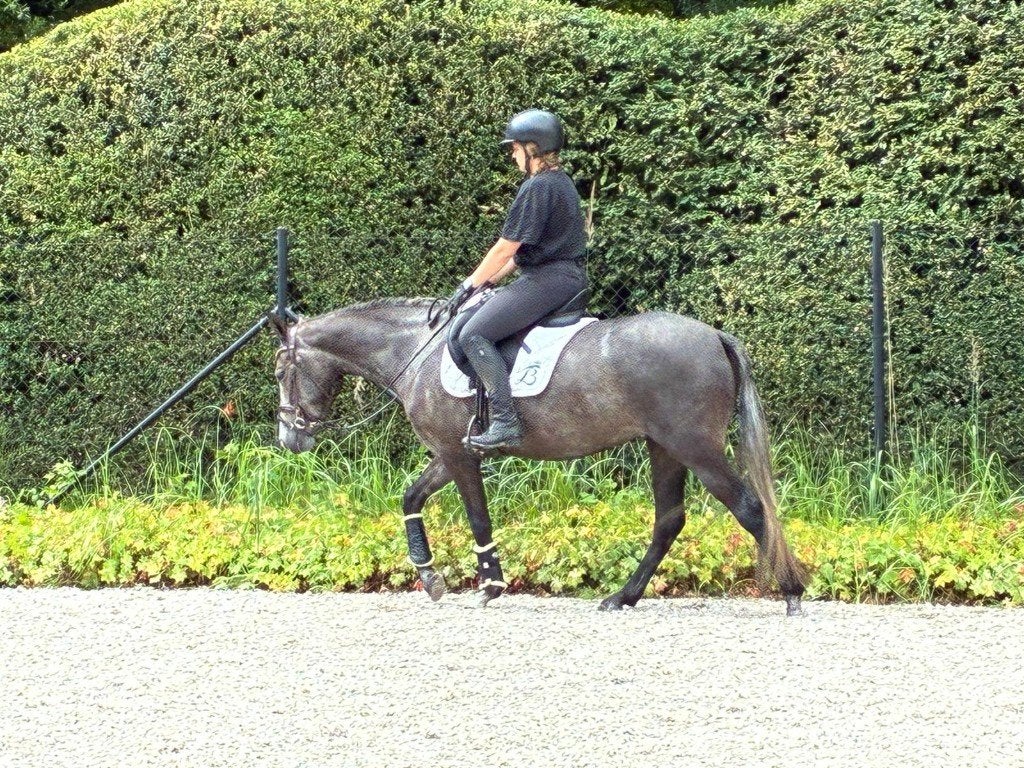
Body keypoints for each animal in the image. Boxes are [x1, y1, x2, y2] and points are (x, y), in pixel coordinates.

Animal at [270, 298, 806, 615]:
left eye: (279, 372)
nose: (289, 439)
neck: (414, 351)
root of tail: (714, 335)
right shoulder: (449, 452)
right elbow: (410, 497)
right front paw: (429, 576)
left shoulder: (459, 456)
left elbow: (477, 517)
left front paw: (490, 585)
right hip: (666, 448)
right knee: (669, 520)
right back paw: (622, 597)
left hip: (695, 448)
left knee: (750, 509)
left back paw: (792, 591)